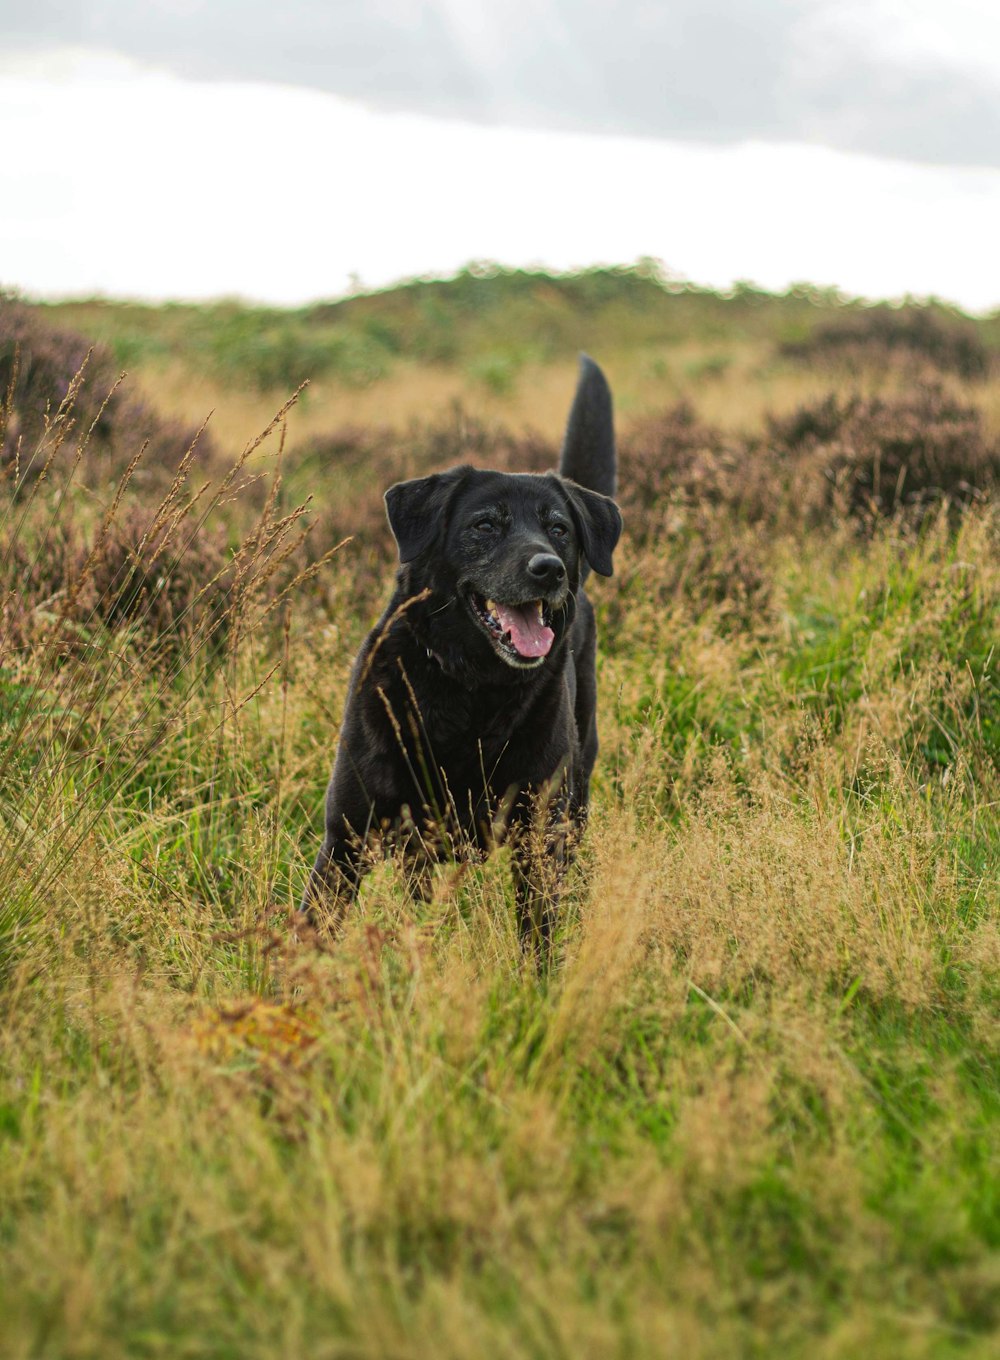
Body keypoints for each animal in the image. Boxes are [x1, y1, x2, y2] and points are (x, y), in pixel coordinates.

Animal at [300, 356, 623, 952]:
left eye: (559, 528)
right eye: (485, 524)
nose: (549, 569)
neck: (471, 690)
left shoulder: (537, 840)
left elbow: (538, 941)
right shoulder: (347, 838)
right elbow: (314, 927)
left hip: (575, 794)